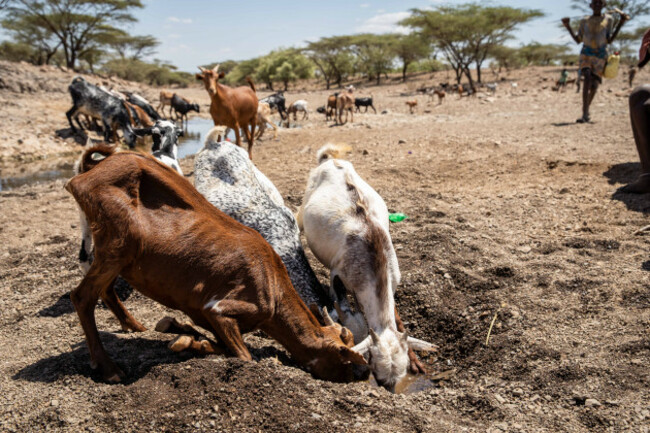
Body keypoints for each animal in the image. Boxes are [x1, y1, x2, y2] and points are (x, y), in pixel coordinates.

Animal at [67, 145, 368, 382]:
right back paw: (108, 368)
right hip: (118, 244)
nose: (356, 378)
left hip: (114, 254)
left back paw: (135, 326)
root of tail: (87, 173)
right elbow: (244, 356)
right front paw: (187, 340)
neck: (273, 288)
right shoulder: (220, 308)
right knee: (82, 296)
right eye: (344, 359)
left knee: (104, 290)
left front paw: (182, 335)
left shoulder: (202, 313)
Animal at [298, 143, 436, 390]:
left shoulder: (392, 281)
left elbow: (398, 320)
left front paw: (416, 362)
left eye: (396, 379)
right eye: (379, 377)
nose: (387, 390)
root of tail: (330, 159)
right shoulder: (337, 275)